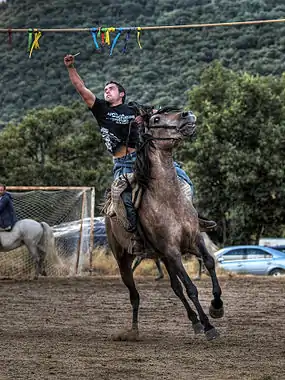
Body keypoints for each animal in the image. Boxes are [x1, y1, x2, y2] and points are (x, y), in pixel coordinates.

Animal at [105, 107, 223, 342]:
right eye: (157, 119)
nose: (187, 115)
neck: (168, 200)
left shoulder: (193, 241)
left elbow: (209, 262)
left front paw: (216, 307)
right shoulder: (172, 251)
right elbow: (191, 288)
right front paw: (209, 326)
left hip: (164, 257)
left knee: (175, 287)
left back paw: (194, 321)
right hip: (125, 260)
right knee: (135, 296)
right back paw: (133, 331)